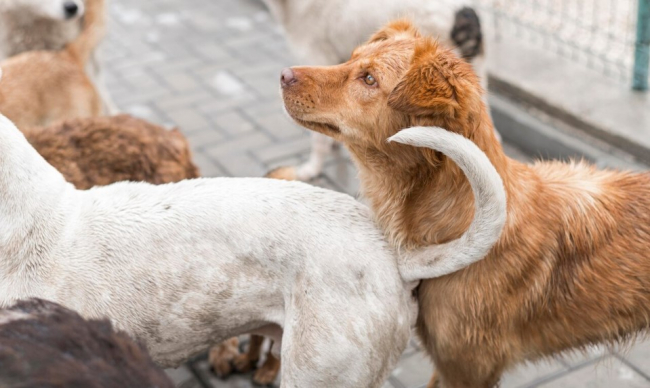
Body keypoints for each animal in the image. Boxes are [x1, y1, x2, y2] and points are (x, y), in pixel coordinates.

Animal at [278, 20, 648, 388]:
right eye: (351, 58)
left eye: (369, 79)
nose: (283, 74)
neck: (457, 225)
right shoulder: (447, 363)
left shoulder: (469, 368)